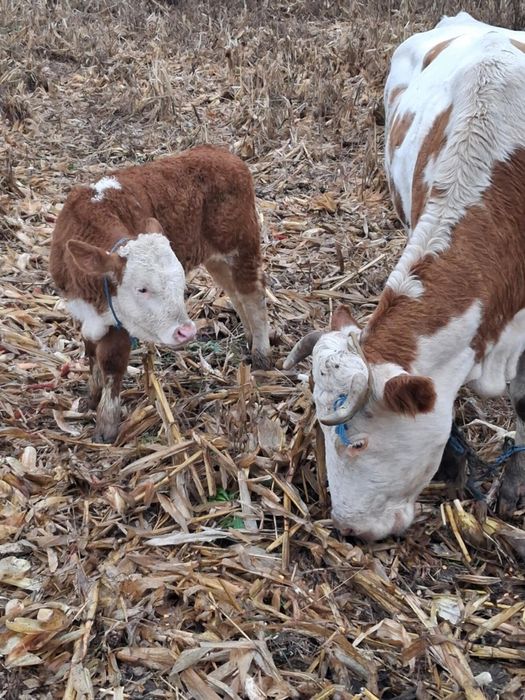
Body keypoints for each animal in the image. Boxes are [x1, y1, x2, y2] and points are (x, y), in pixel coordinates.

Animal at [50, 146, 271, 443]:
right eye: (141, 288)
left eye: (180, 285)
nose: (186, 332)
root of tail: (221, 153)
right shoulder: (83, 311)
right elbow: (90, 350)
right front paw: (91, 398)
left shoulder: (121, 321)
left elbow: (111, 362)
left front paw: (106, 426)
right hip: (216, 257)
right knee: (235, 293)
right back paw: (249, 336)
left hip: (242, 243)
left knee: (253, 294)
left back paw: (261, 352)